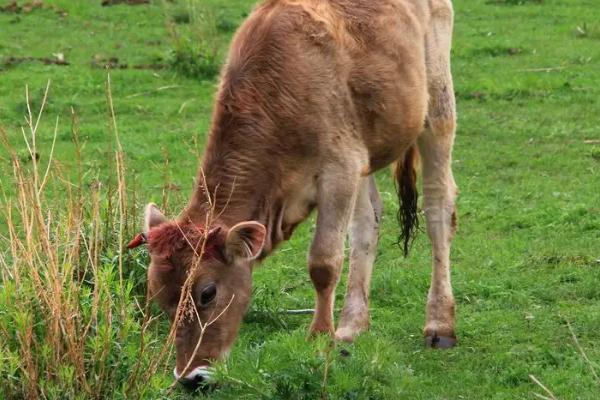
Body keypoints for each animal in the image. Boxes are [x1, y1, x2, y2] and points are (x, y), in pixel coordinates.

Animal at [130, 0, 460, 388]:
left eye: (207, 292)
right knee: (368, 223)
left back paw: (440, 324)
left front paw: (319, 340)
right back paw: (351, 327)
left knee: (438, 206)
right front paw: (333, 335)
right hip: (367, 151)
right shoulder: (351, 164)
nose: (190, 377)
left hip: (437, 105)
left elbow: (323, 263)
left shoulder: (338, 170)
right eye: (159, 295)